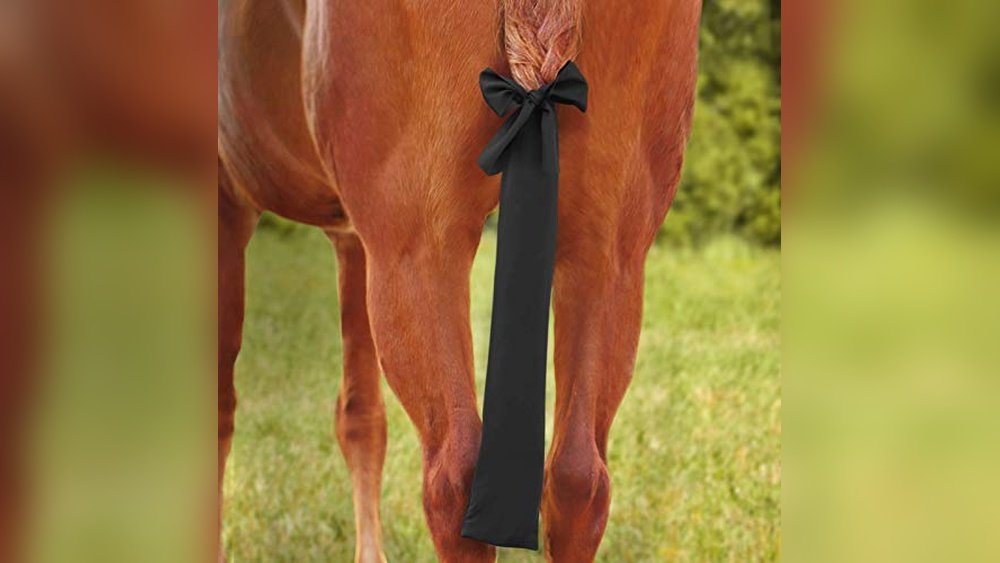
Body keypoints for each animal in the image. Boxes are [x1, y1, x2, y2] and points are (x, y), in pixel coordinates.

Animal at [217, 0, 701, 560]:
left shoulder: (232, 207)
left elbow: (220, 410)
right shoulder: (353, 240)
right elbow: (361, 417)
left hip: (418, 252)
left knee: (454, 478)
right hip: (607, 254)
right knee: (579, 479)